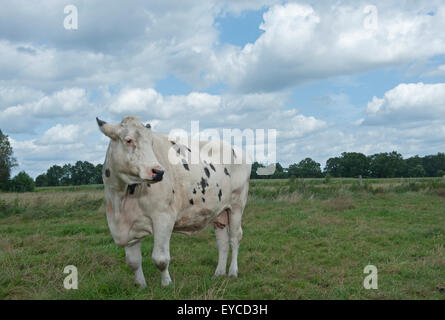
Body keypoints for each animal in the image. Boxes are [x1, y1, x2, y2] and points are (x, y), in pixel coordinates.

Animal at [96, 115, 251, 288]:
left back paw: (232, 272)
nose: (158, 172)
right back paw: (218, 273)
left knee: (235, 238)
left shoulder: (164, 218)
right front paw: (141, 286)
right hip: (220, 213)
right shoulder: (128, 227)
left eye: (151, 143)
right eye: (128, 140)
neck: (121, 200)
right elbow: (133, 262)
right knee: (222, 242)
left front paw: (167, 284)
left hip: (237, 206)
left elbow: (160, 259)